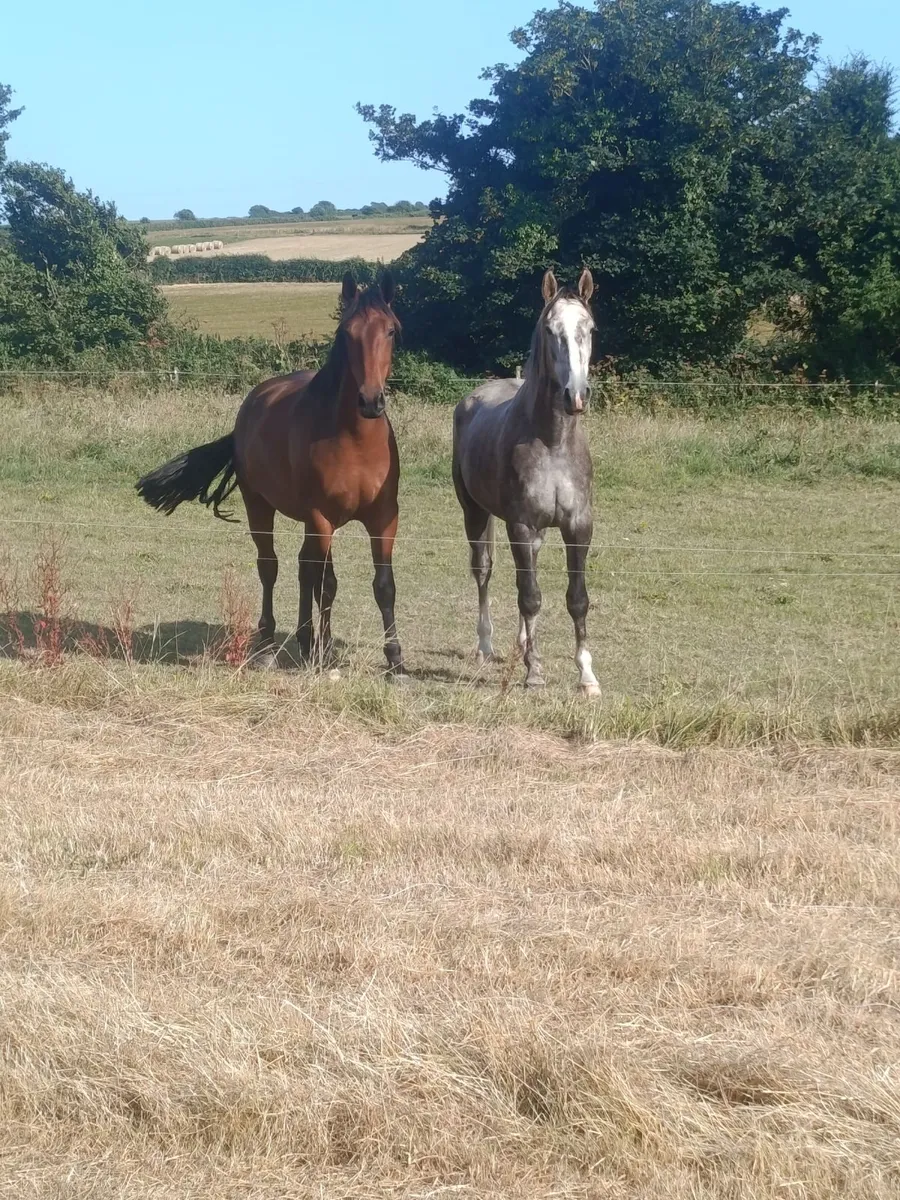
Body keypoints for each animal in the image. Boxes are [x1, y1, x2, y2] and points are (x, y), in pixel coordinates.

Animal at [136, 272, 407, 678]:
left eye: (390, 330)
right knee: (272, 566)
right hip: (260, 506)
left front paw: (395, 660)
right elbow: (326, 584)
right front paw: (325, 653)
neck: (355, 440)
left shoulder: (384, 518)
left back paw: (305, 640)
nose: (370, 401)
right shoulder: (323, 518)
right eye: (346, 334)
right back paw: (269, 645)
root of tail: (252, 402)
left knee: (302, 567)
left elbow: (383, 585)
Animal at [452, 268, 600, 697]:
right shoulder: (519, 524)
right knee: (484, 570)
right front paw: (534, 672)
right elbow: (530, 596)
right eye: (550, 330)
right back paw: (486, 645)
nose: (575, 396)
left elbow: (576, 598)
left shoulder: (577, 526)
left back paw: (521, 644)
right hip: (475, 512)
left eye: (589, 328)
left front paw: (586, 675)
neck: (553, 442)